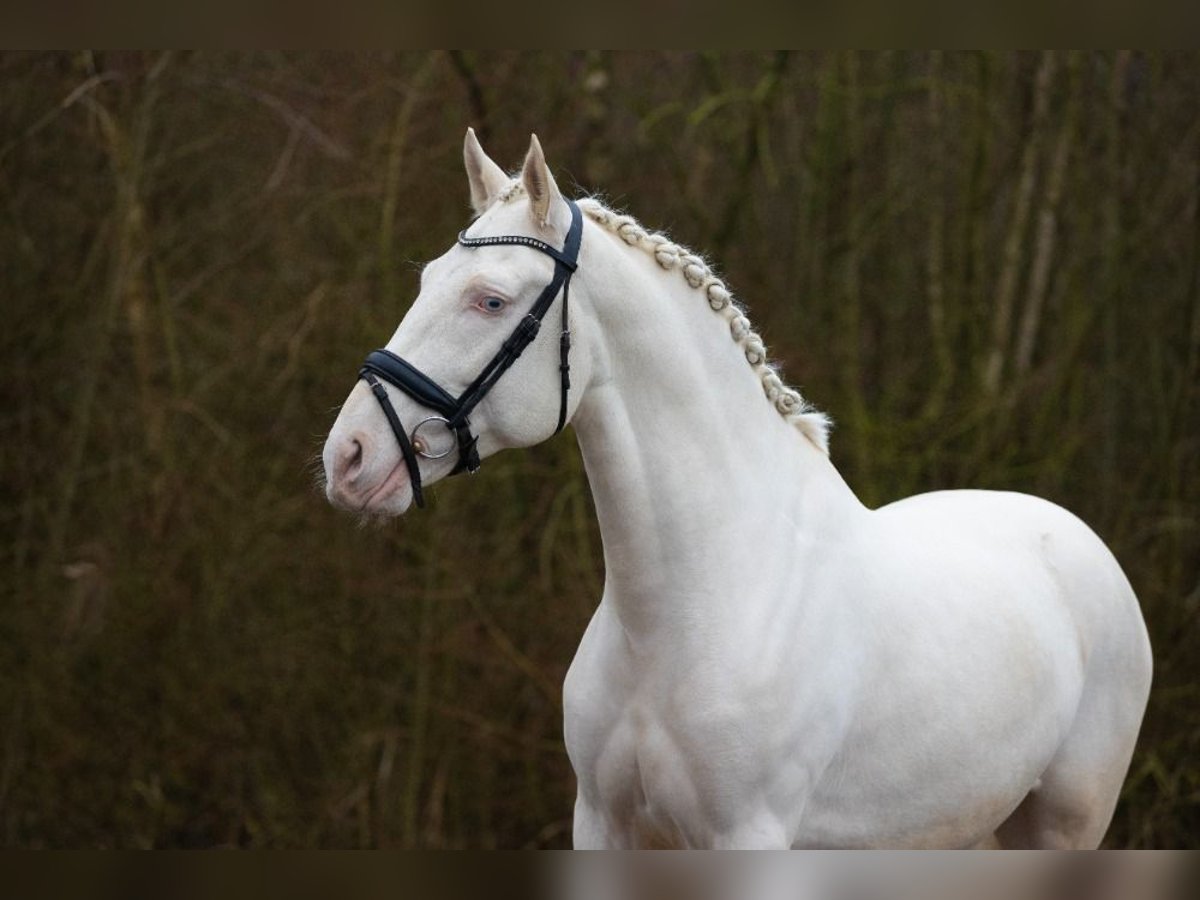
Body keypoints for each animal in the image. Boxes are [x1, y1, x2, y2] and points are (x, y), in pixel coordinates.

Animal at [326, 130, 1152, 849]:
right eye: (426, 281)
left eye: (491, 300)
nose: (349, 457)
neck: (691, 611)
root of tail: (1074, 536)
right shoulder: (604, 827)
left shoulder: (748, 838)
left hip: (1066, 822)